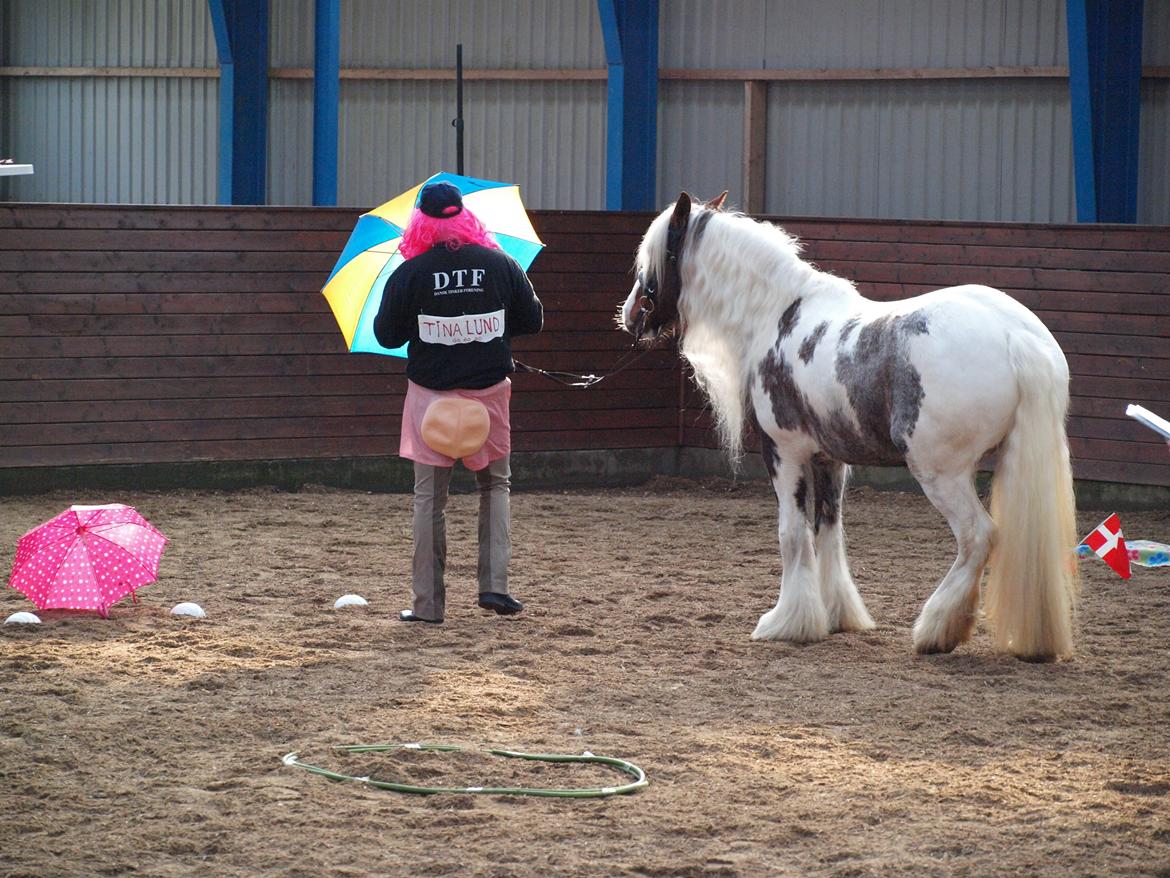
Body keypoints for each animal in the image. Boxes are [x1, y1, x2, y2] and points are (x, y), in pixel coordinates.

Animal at [622, 191, 1076, 660]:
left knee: (978, 537)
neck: (778, 314)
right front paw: (837, 615)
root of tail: (1016, 336)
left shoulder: (783, 453)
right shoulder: (830, 460)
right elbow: (828, 531)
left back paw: (936, 629)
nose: (631, 314)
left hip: (941, 473)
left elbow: (792, 534)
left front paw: (788, 621)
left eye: (653, 260)